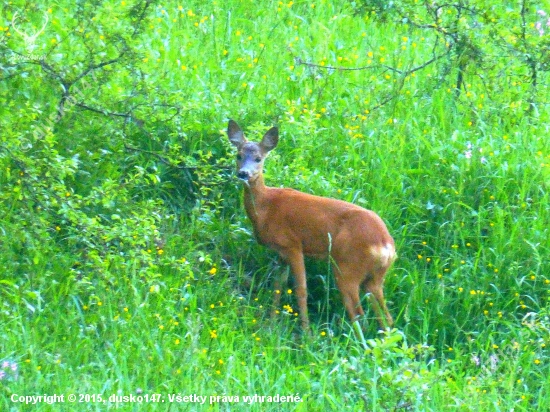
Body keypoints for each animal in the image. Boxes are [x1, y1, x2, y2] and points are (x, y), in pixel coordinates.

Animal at [229, 119, 396, 332]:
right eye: (238, 155)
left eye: (258, 158)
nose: (243, 173)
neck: (266, 207)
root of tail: (385, 244)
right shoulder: (280, 252)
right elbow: (277, 286)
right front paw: (272, 323)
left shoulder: (293, 245)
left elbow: (301, 290)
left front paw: (306, 333)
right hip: (374, 276)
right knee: (385, 315)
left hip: (347, 266)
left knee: (359, 315)